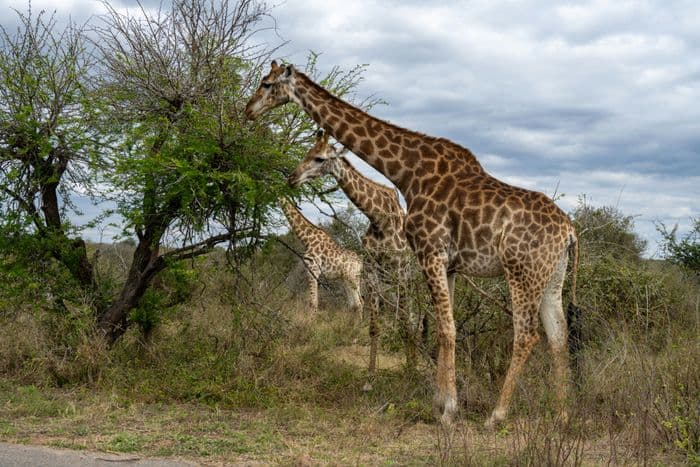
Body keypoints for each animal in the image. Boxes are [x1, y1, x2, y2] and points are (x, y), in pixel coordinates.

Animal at [289, 129, 420, 377]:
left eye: (319, 158)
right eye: (307, 152)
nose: (292, 178)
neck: (378, 219)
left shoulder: (399, 269)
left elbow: (404, 323)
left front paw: (411, 372)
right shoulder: (372, 272)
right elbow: (374, 326)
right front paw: (370, 375)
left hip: (410, 278)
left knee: (413, 319)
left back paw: (415, 364)